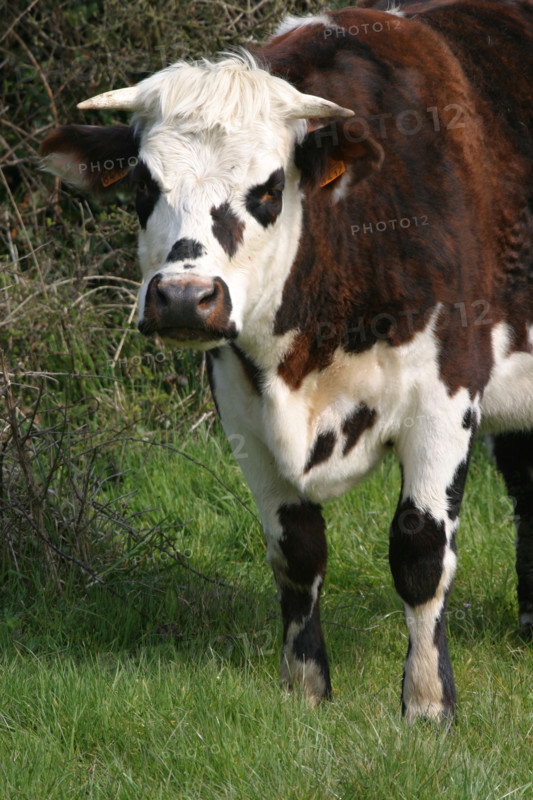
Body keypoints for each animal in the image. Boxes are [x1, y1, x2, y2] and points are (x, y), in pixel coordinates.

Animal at [39, 0, 533, 722]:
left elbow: (418, 553)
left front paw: (426, 705)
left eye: (270, 188)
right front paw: (305, 692)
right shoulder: (242, 410)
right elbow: (296, 553)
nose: (183, 298)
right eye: (142, 184)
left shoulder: (445, 396)